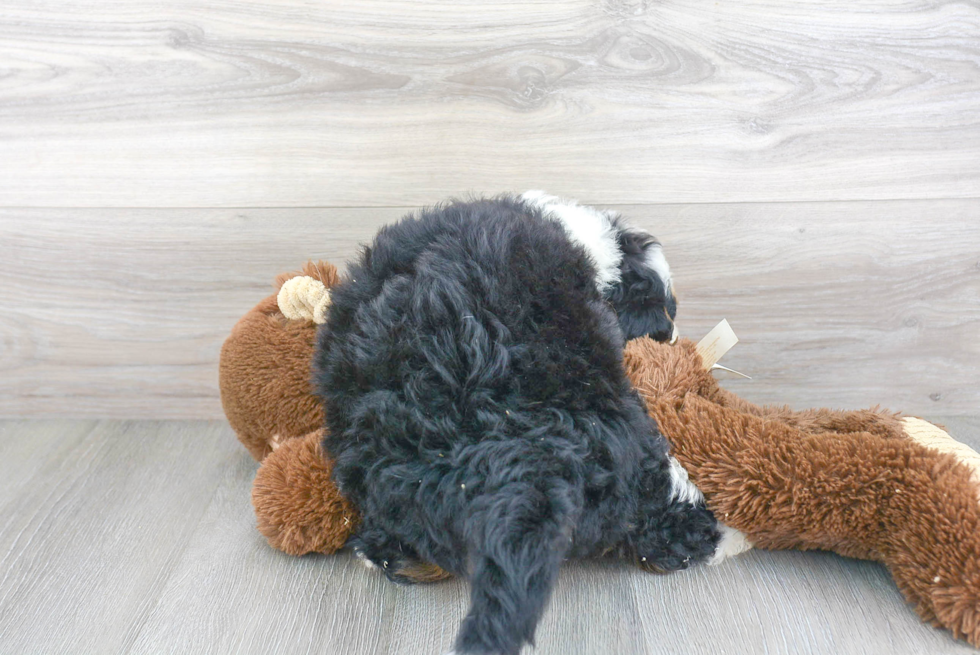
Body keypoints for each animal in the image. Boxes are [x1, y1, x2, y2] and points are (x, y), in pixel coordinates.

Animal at [316, 192, 736, 652]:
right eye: (665, 308)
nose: (672, 337)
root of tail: (513, 455)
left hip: (383, 460)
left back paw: (391, 556)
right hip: (626, 433)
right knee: (658, 502)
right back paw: (715, 537)